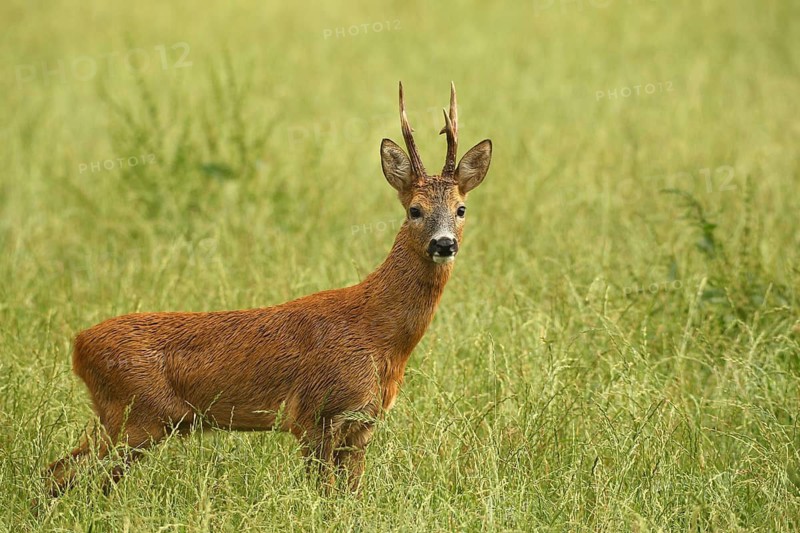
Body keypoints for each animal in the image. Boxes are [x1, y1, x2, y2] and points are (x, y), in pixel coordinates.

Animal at [45, 82, 492, 496]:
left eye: (461, 209)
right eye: (414, 210)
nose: (443, 243)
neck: (379, 337)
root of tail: (78, 345)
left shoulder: (363, 422)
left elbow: (351, 495)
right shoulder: (314, 414)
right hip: (134, 416)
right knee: (63, 472)